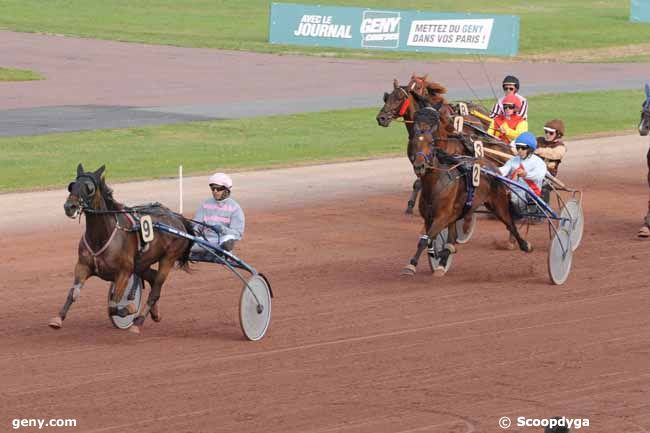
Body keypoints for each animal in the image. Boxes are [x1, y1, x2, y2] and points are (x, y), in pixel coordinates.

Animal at [49, 164, 194, 332]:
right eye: (72, 186)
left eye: (89, 187)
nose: (69, 207)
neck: (102, 235)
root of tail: (177, 218)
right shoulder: (83, 266)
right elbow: (73, 293)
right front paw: (58, 318)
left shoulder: (124, 271)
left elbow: (114, 304)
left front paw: (129, 309)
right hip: (141, 263)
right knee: (152, 278)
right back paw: (155, 314)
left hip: (168, 258)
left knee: (156, 290)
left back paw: (138, 321)